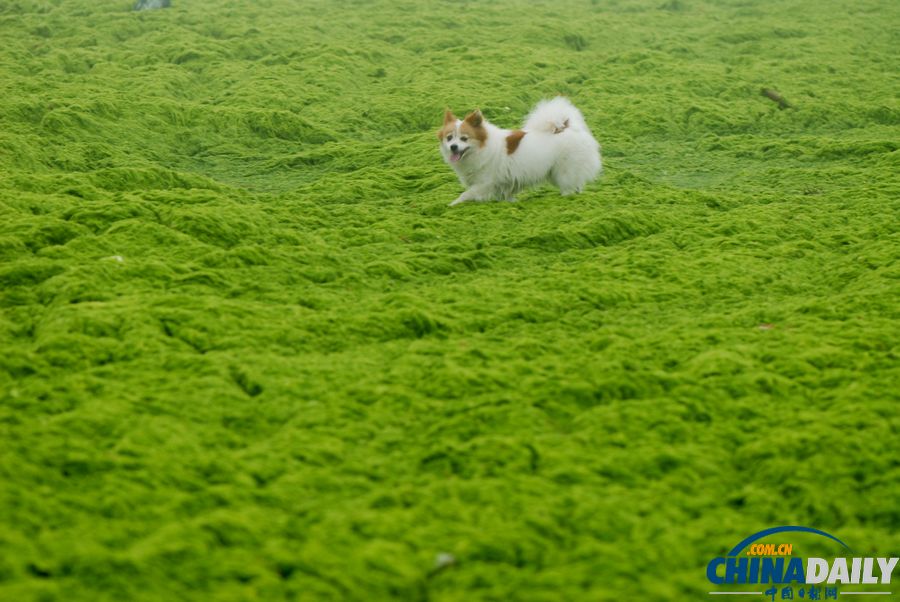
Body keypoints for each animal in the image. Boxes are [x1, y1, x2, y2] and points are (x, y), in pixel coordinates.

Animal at [438, 96, 600, 204]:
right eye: (449, 138)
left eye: (464, 139)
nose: (453, 147)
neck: (481, 148)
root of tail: (567, 127)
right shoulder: (505, 185)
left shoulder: (485, 184)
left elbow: (465, 195)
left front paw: (452, 205)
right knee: (577, 186)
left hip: (563, 173)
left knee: (569, 187)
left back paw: (567, 200)